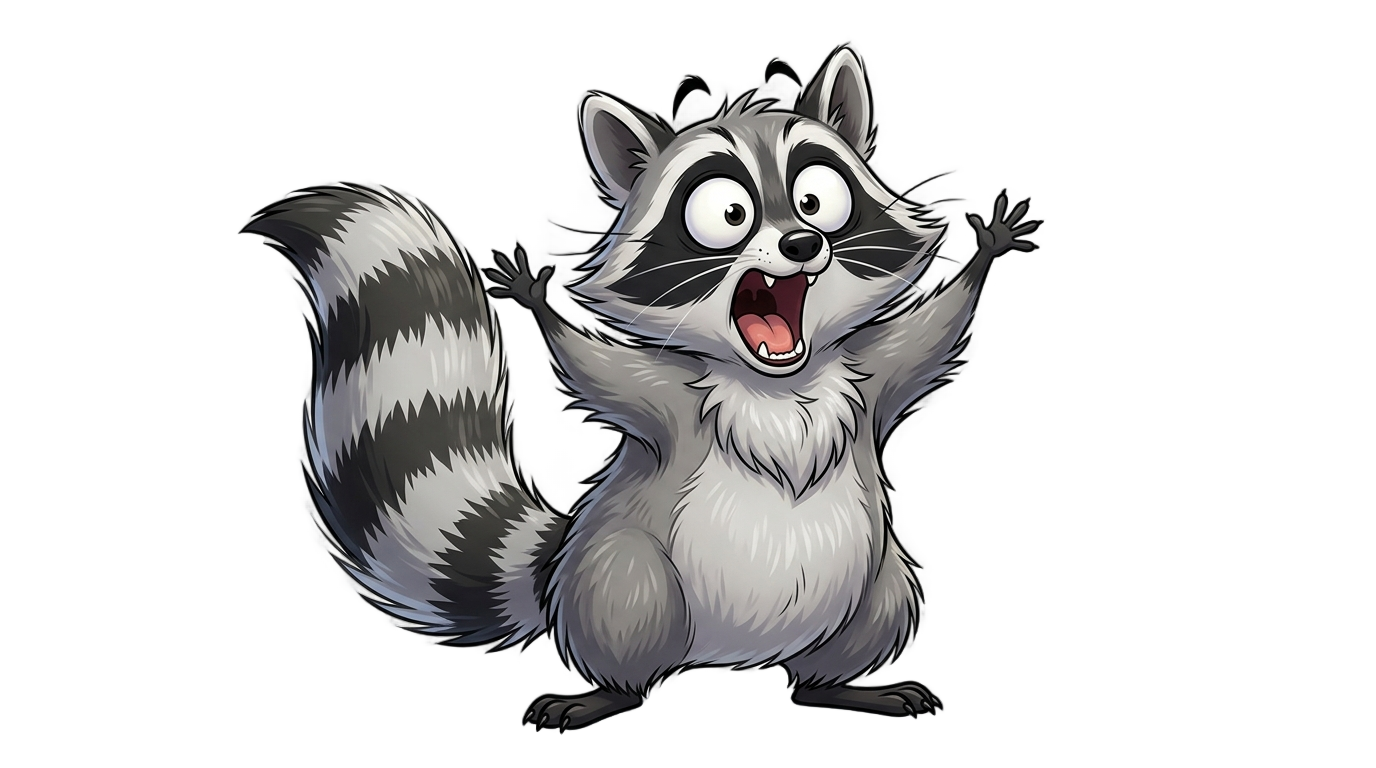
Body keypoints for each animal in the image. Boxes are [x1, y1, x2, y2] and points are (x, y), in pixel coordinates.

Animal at [242, 44, 1039, 732]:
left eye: (817, 199)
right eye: (727, 213)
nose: (802, 243)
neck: (781, 383)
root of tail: (731, 656)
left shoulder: (867, 379)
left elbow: (927, 336)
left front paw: (985, 254)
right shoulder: (670, 400)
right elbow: (596, 369)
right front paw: (538, 303)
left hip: (874, 581)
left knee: (858, 623)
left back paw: (838, 686)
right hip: (619, 580)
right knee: (630, 586)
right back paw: (613, 694)